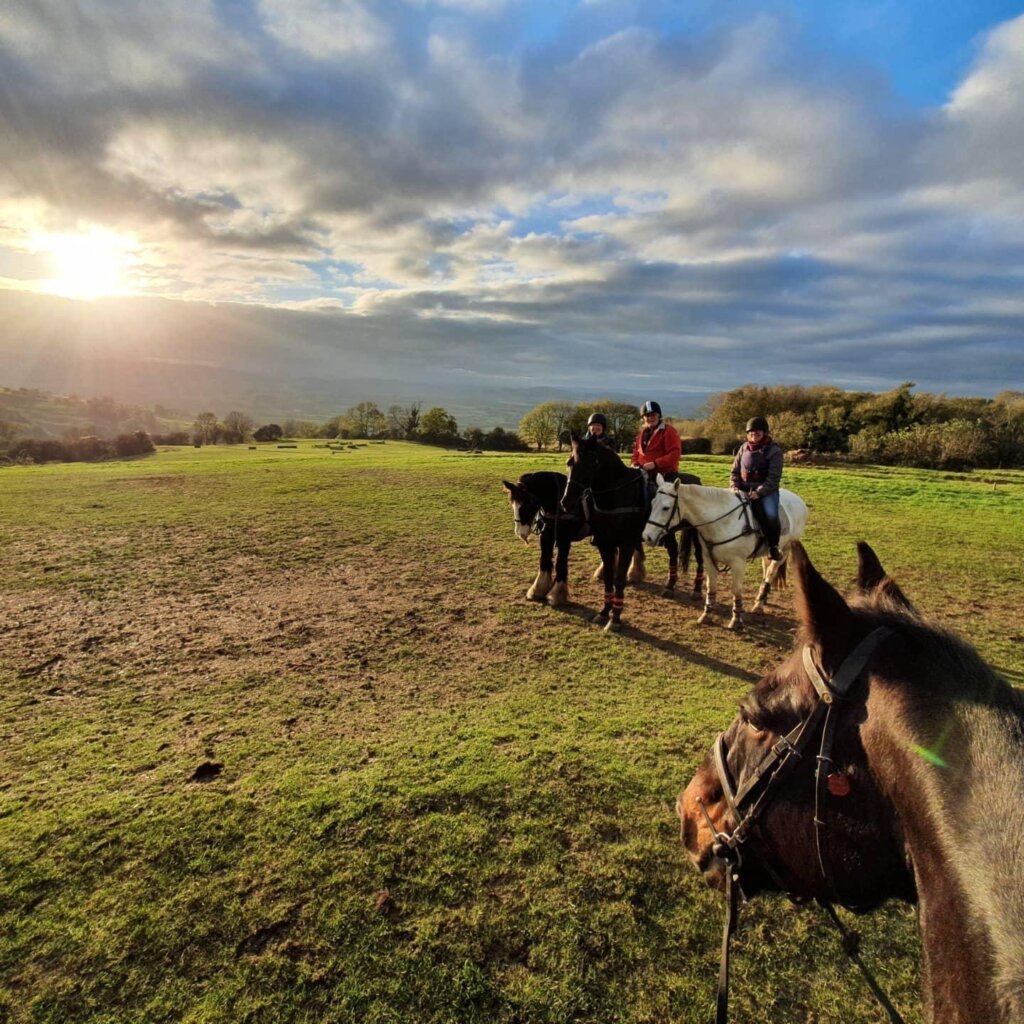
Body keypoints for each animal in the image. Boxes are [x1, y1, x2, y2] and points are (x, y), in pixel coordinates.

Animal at [501, 473, 589, 606]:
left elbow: (560, 564)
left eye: (527, 504)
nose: (520, 532)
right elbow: (544, 561)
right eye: (513, 504)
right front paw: (537, 590)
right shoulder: (546, 537)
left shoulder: (564, 540)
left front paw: (557, 594)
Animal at [643, 475, 811, 626]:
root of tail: (798, 499)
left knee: (771, 572)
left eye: (666, 507)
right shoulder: (709, 559)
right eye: (651, 503)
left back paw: (759, 605)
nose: (646, 536)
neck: (723, 521)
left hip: (784, 550)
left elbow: (736, 590)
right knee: (766, 570)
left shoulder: (738, 563)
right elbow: (711, 586)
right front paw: (707, 614)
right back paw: (761, 599)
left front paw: (736, 619)